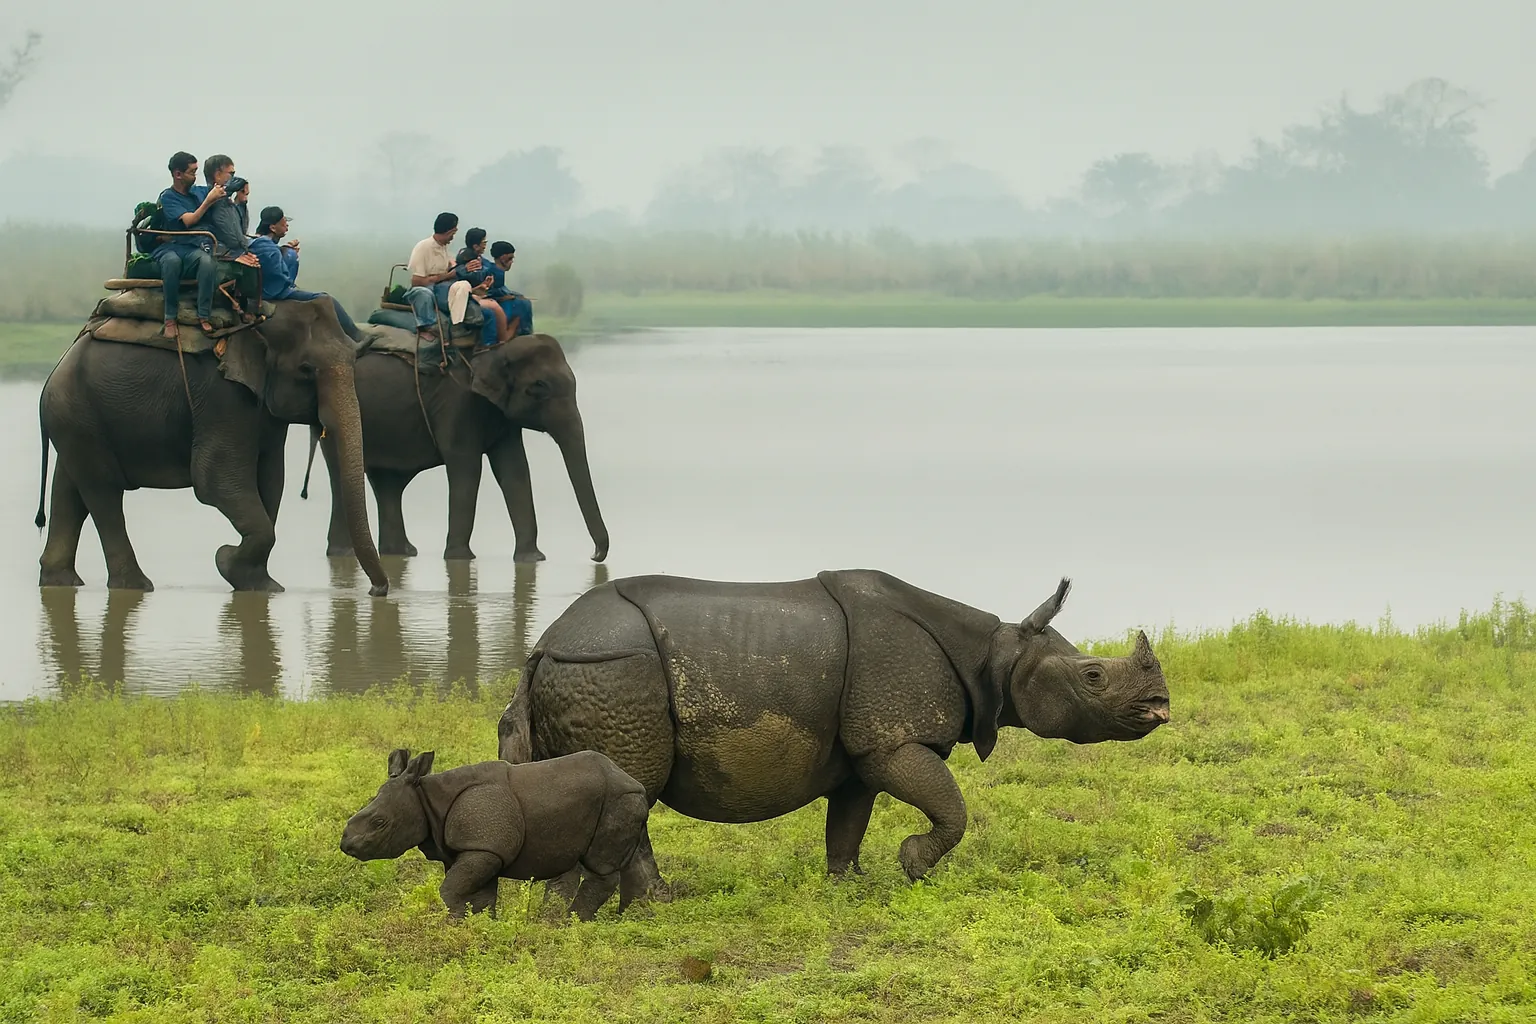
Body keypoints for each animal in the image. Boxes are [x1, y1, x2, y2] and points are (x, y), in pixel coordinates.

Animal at [340, 747, 656, 920]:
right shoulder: (479, 849)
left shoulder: (483, 848)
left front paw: (454, 923)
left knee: (601, 865)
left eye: (379, 822)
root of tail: (633, 781)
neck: (428, 798)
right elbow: (480, 896)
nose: (346, 844)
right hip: (621, 798)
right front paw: (479, 926)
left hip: (618, 798)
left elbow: (450, 890)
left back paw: (570, 923)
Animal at [497, 571, 1171, 885]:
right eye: (1092, 676)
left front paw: (849, 883)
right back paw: (660, 902)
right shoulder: (892, 737)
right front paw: (913, 865)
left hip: (591, 671)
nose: (1161, 705)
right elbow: (949, 806)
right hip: (613, 670)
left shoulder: (860, 750)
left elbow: (849, 816)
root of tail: (544, 646)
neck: (992, 652)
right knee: (630, 791)